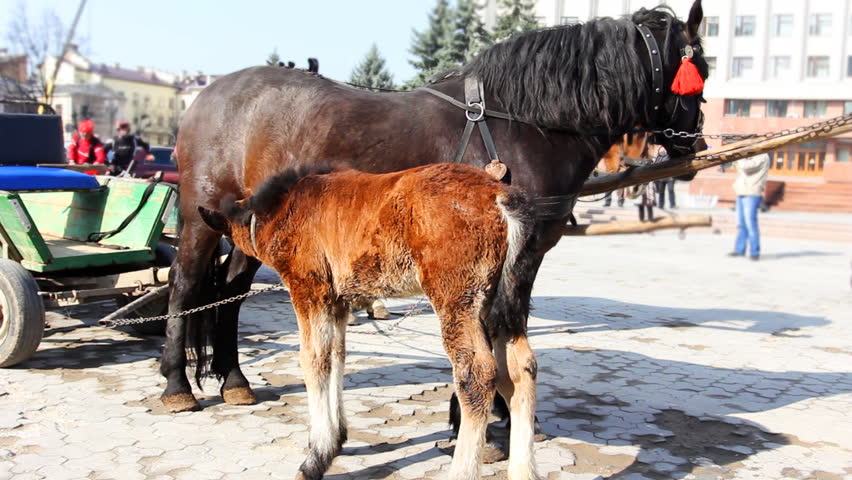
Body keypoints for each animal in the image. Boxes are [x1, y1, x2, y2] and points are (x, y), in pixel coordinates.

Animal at [197, 162, 540, 480]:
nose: (227, 266)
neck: (285, 207)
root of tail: (498, 195)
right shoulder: (337, 300)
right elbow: (336, 356)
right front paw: (335, 441)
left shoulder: (309, 288)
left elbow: (313, 360)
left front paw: (315, 458)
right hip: (504, 298)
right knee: (520, 369)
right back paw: (524, 470)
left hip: (456, 297)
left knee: (478, 373)